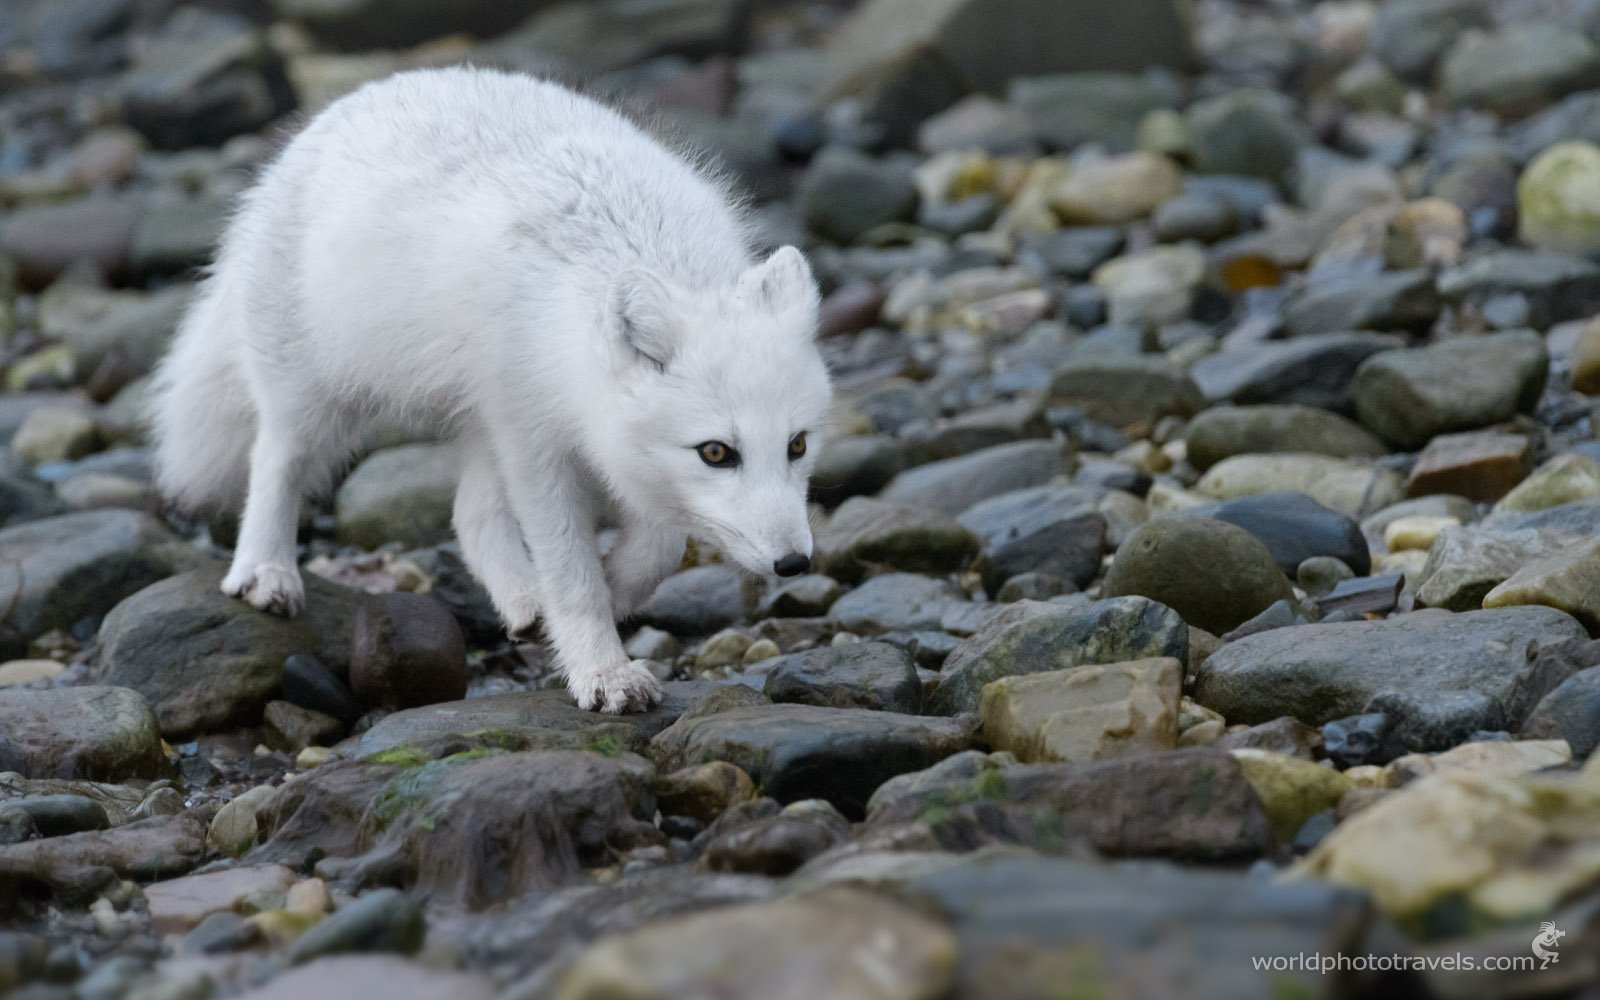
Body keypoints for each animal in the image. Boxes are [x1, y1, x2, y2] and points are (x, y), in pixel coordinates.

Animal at [147, 66, 838, 710]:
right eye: (717, 452)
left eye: (798, 446)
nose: (794, 564)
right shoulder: (537, 443)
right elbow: (573, 573)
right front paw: (603, 672)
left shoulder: (596, 446)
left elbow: (660, 547)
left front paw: (611, 594)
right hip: (318, 397)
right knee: (275, 460)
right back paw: (265, 571)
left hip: (484, 419)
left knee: (468, 513)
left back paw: (526, 603)